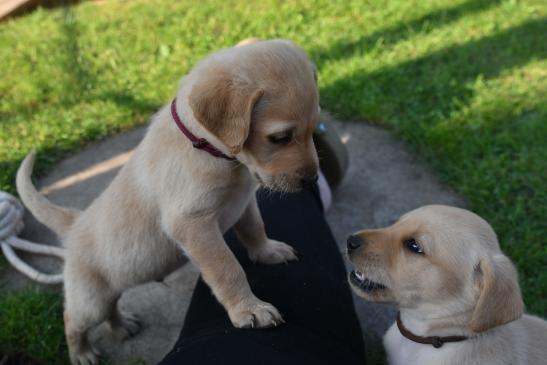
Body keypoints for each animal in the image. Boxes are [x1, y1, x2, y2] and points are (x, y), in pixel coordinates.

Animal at [16, 38, 322, 362]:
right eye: (280, 138)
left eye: (314, 128)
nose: (312, 180)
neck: (212, 151)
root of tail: (74, 223)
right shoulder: (191, 223)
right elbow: (227, 268)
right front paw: (249, 309)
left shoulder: (243, 200)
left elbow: (254, 228)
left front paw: (268, 251)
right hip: (89, 299)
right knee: (73, 321)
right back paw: (82, 353)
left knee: (111, 307)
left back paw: (121, 325)